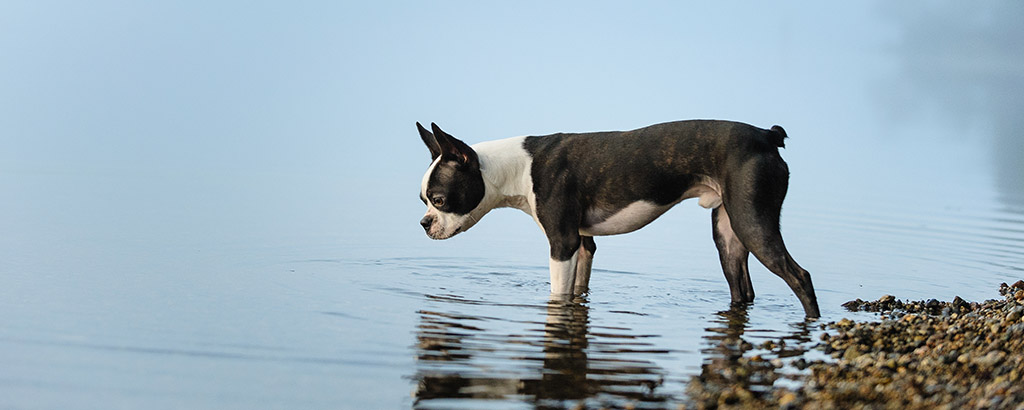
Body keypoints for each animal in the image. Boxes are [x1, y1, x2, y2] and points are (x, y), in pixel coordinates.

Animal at [411, 119, 819, 317]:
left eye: (440, 200)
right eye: (423, 201)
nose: (424, 223)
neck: (515, 167)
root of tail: (767, 136)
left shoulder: (562, 244)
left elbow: (557, 292)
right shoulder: (583, 244)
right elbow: (579, 289)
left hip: (753, 222)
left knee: (800, 276)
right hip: (728, 235)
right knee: (743, 291)